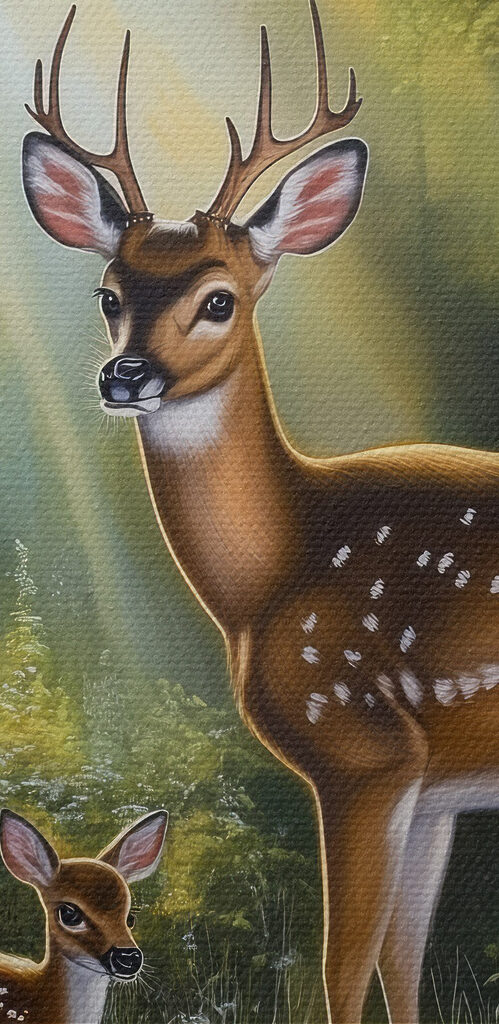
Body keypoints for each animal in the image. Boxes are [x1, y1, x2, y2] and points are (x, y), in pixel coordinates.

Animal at [20, 3, 499, 1022]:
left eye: (217, 299)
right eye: (107, 295)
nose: (124, 375)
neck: (271, 576)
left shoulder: (360, 748)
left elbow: (342, 965)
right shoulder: (433, 786)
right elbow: (402, 963)